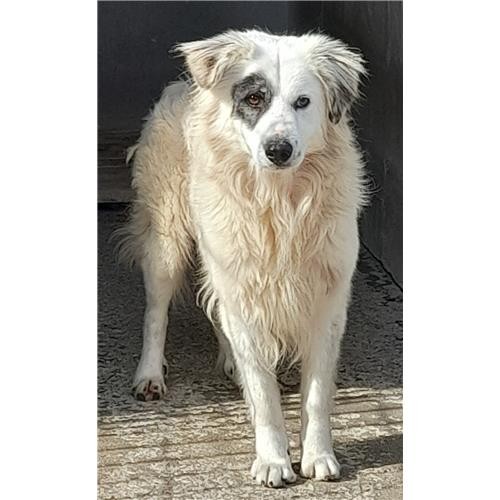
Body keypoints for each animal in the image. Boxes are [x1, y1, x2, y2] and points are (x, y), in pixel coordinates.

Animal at [117, 29, 366, 487]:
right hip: (167, 243)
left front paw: (318, 455)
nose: (278, 149)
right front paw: (272, 461)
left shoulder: (328, 300)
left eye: (303, 102)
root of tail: (183, 86)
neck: (279, 203)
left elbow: (316, 393)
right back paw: (150, 375)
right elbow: (265, 397)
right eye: (254, 99)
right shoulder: (241, 287)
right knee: (156, 313)